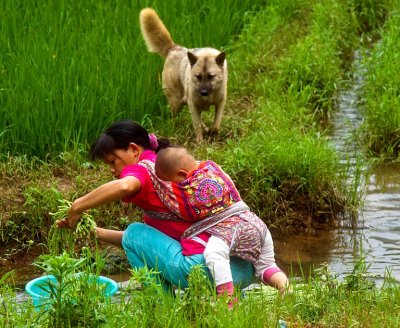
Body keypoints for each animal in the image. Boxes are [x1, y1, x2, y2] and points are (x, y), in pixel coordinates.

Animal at [140, 8, 228, 142]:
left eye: (211, 76)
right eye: (198, 76)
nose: (203, 92)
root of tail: (172, 49)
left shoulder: (220, 102)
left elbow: (216, 124)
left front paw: (212, 132)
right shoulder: (193, 105)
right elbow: (196, 125)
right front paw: (200, 142)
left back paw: (206, 129)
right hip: (176, 103)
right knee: (172, 117)